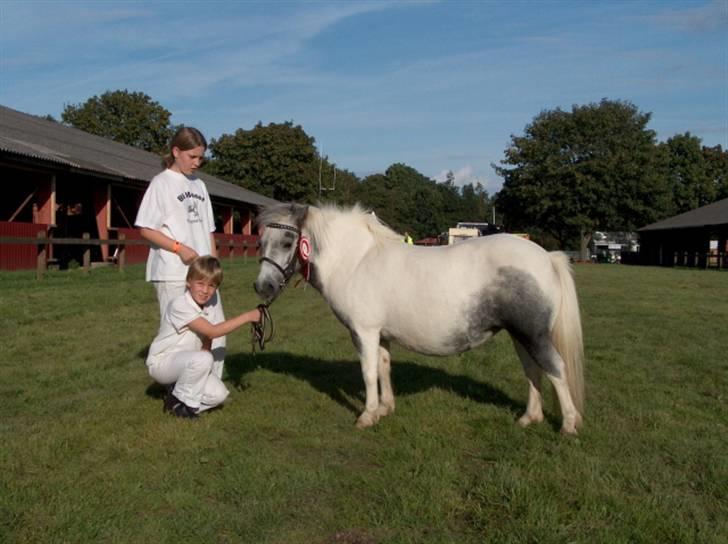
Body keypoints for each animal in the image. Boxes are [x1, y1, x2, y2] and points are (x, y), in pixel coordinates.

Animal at [256, 202, 584, 436]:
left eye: (288, 241)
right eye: (260, 242)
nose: (263, 286)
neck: (356, 261)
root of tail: (547, 257)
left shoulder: (364, 332)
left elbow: (368, 372)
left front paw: (367, 415)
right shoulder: (382, 334)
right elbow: (384, 368)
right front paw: (385, 409)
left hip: (533, 335)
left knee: (555, 369)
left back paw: (568, 424)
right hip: (520, 335)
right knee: (533, 370)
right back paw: (530, 418)